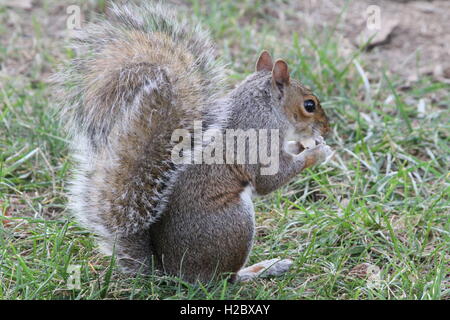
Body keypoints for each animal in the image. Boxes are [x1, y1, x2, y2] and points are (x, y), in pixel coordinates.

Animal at [54, 2, 332, 282]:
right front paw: (318, 152)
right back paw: (260, 269)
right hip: (235, 223)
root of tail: (172, 273)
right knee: (226, 280)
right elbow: (270, 180)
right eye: (309, 105)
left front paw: (306, 145)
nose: (328, 128)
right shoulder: (258, 144)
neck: (263, 107)